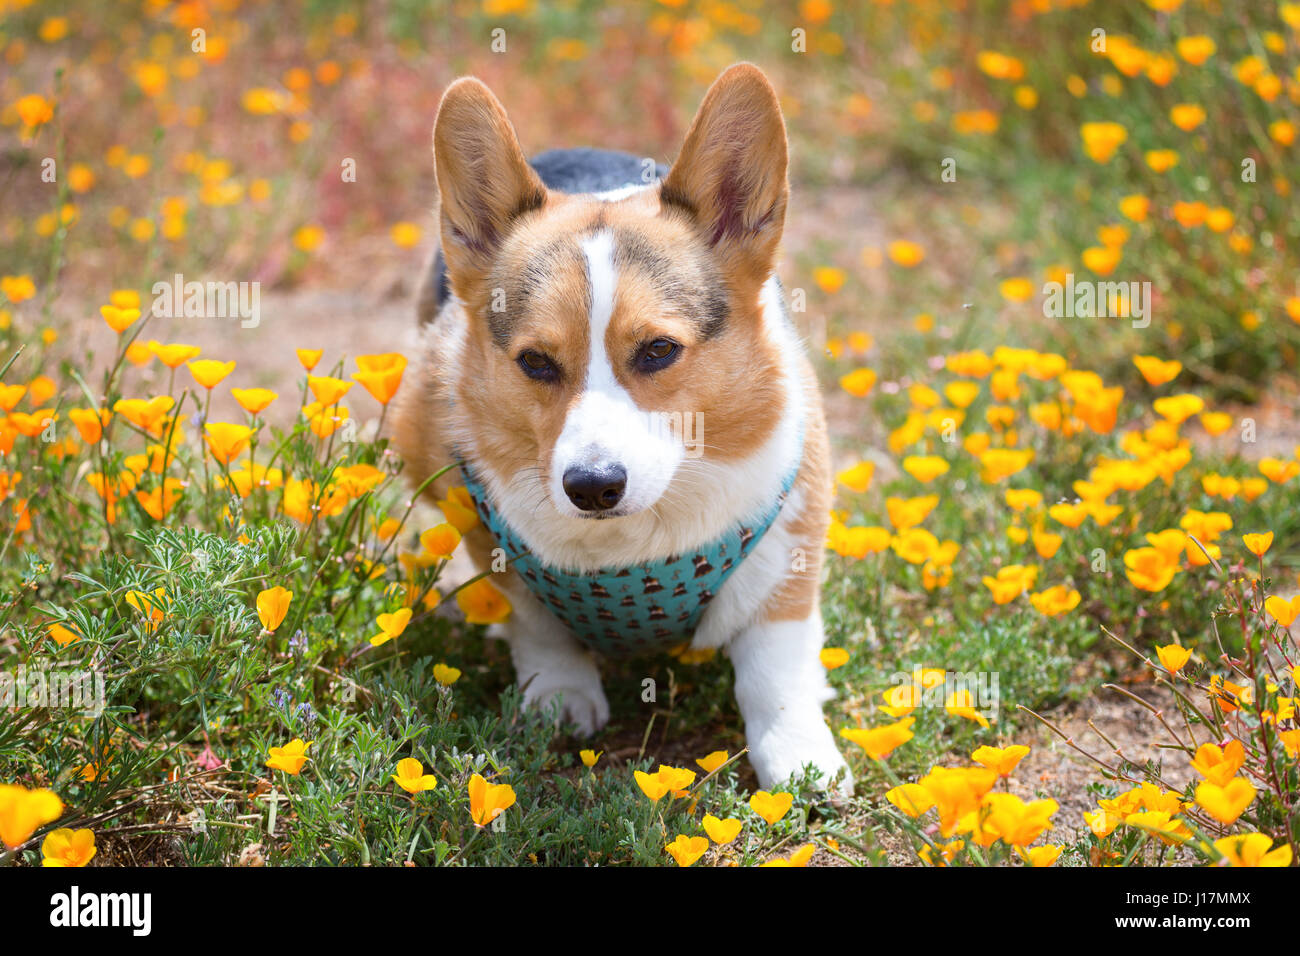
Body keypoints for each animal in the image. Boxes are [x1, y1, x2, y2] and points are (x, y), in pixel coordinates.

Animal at [395, 59, 852, 790]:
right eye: (535, 362)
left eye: (659, 350)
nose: (592, 487)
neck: (632, 549)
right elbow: (536, 626)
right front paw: (558, 698)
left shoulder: (792, 540)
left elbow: (773, 664)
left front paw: (800, 755)